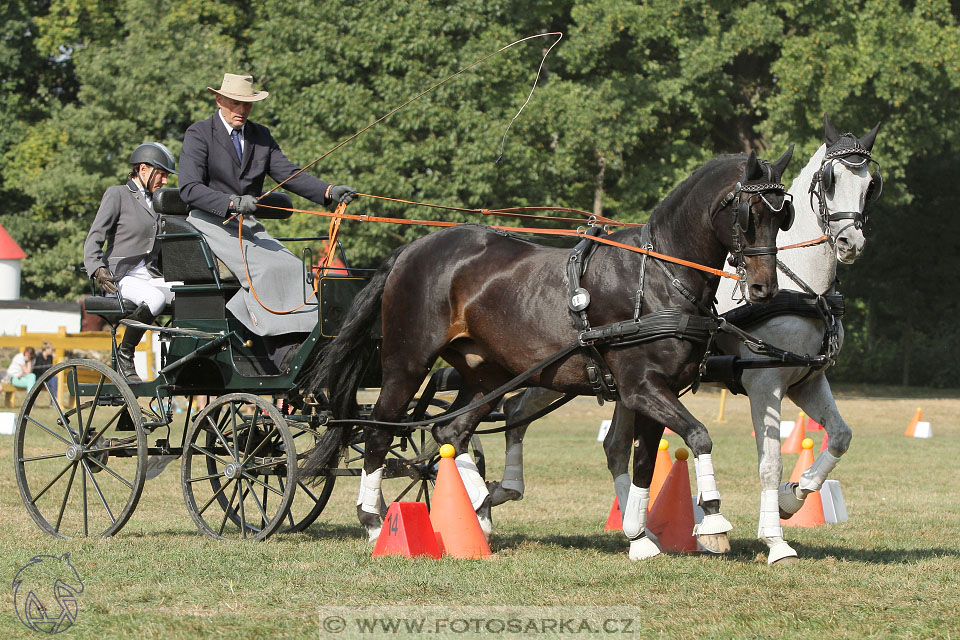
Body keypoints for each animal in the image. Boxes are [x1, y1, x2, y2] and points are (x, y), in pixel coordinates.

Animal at [302, 148, 796, 556]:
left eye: (783, 215)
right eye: (750, 213)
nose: (763, 288)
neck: (658, 276)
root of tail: (410, 250)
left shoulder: (656, 391)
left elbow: (643, 462)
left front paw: (640, 536)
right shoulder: (643, 388)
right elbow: (698, 437)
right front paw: (712, 518)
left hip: (487, 374)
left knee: (450, 432)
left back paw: (478, 508)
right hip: (406, 364)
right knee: (380, 432)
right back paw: (374, 521)